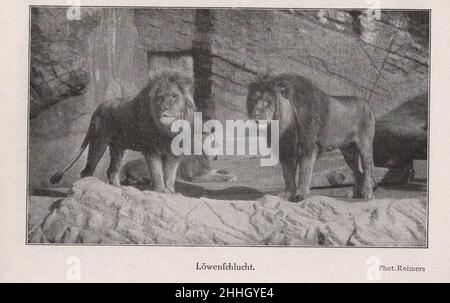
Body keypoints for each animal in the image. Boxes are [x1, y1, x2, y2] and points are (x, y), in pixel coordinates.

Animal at [246, 73, 376, 202]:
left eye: (267, 102)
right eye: (254, 100)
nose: (254, 114)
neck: (285, 125)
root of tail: (368, 104)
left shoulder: (308, 148)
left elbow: (304, 174)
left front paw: (301, 196)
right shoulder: (286, 151)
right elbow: (288, 176)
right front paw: (288, 196)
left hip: (365, 145)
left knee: (367, 170)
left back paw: (367, 194)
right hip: (348, 150)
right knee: (358, 172)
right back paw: (355, 194)